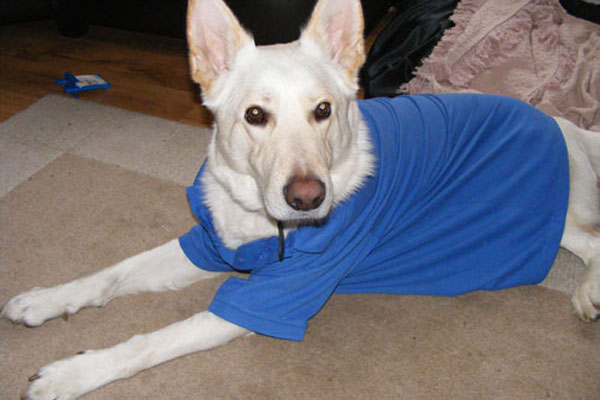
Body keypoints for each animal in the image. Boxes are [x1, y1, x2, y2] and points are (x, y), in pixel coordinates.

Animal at [4, 0, 600, 398]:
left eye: (323, 110)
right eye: (254, 115)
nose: (308, 198)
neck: (259, 219)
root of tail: (559, 123)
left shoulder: (269, 299)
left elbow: (151, 341)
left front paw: (72, 372)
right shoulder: (210, 244)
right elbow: (111, 274)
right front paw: (46, 299)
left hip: (559, 211)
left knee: (591, 240)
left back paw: (588, 294)